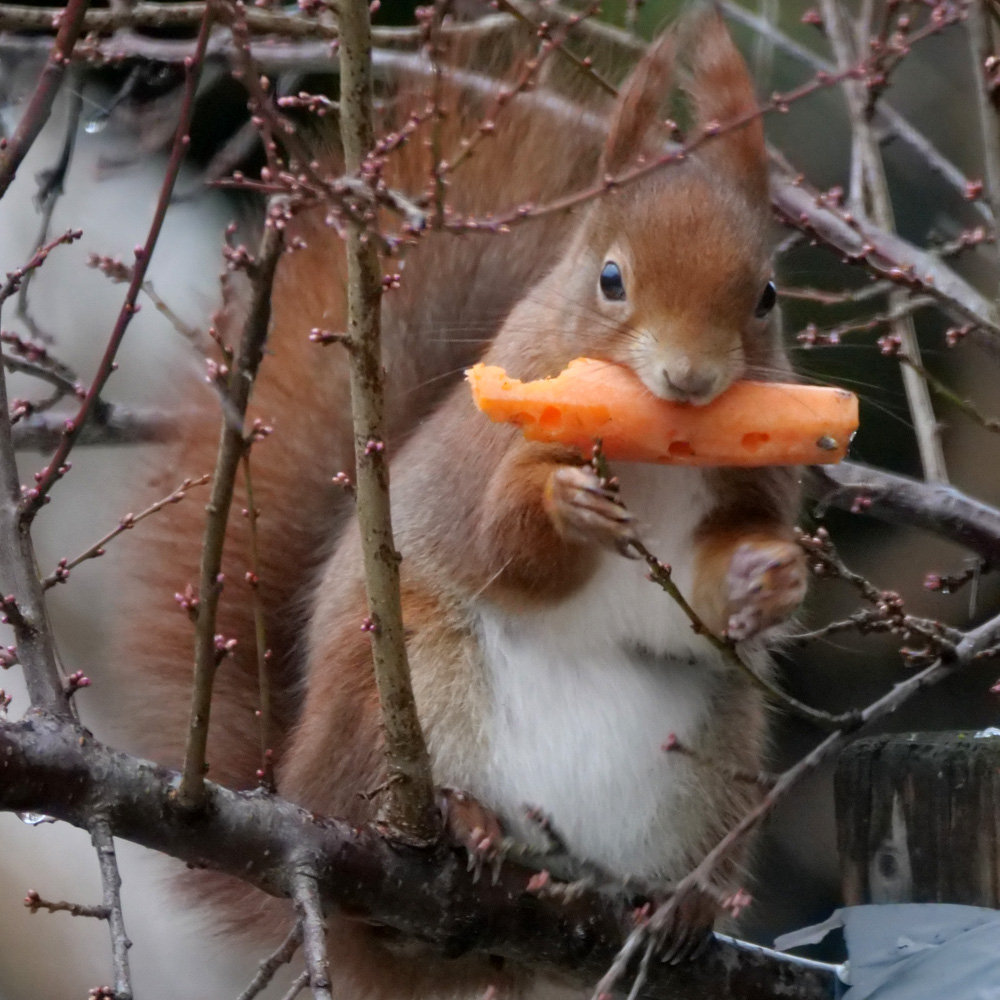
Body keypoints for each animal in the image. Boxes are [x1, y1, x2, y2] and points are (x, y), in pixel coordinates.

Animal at [113, 9, 808, 1000]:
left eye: (767, 296)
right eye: (610, 279)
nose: (690, 378)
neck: (660, 452)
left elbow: (709, 597)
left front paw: (771, 576)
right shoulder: (486, 452)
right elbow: (503, 545)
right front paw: (565, 502)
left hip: (719, 758)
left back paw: (679, 907)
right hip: (406, 683)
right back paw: (465, 823)